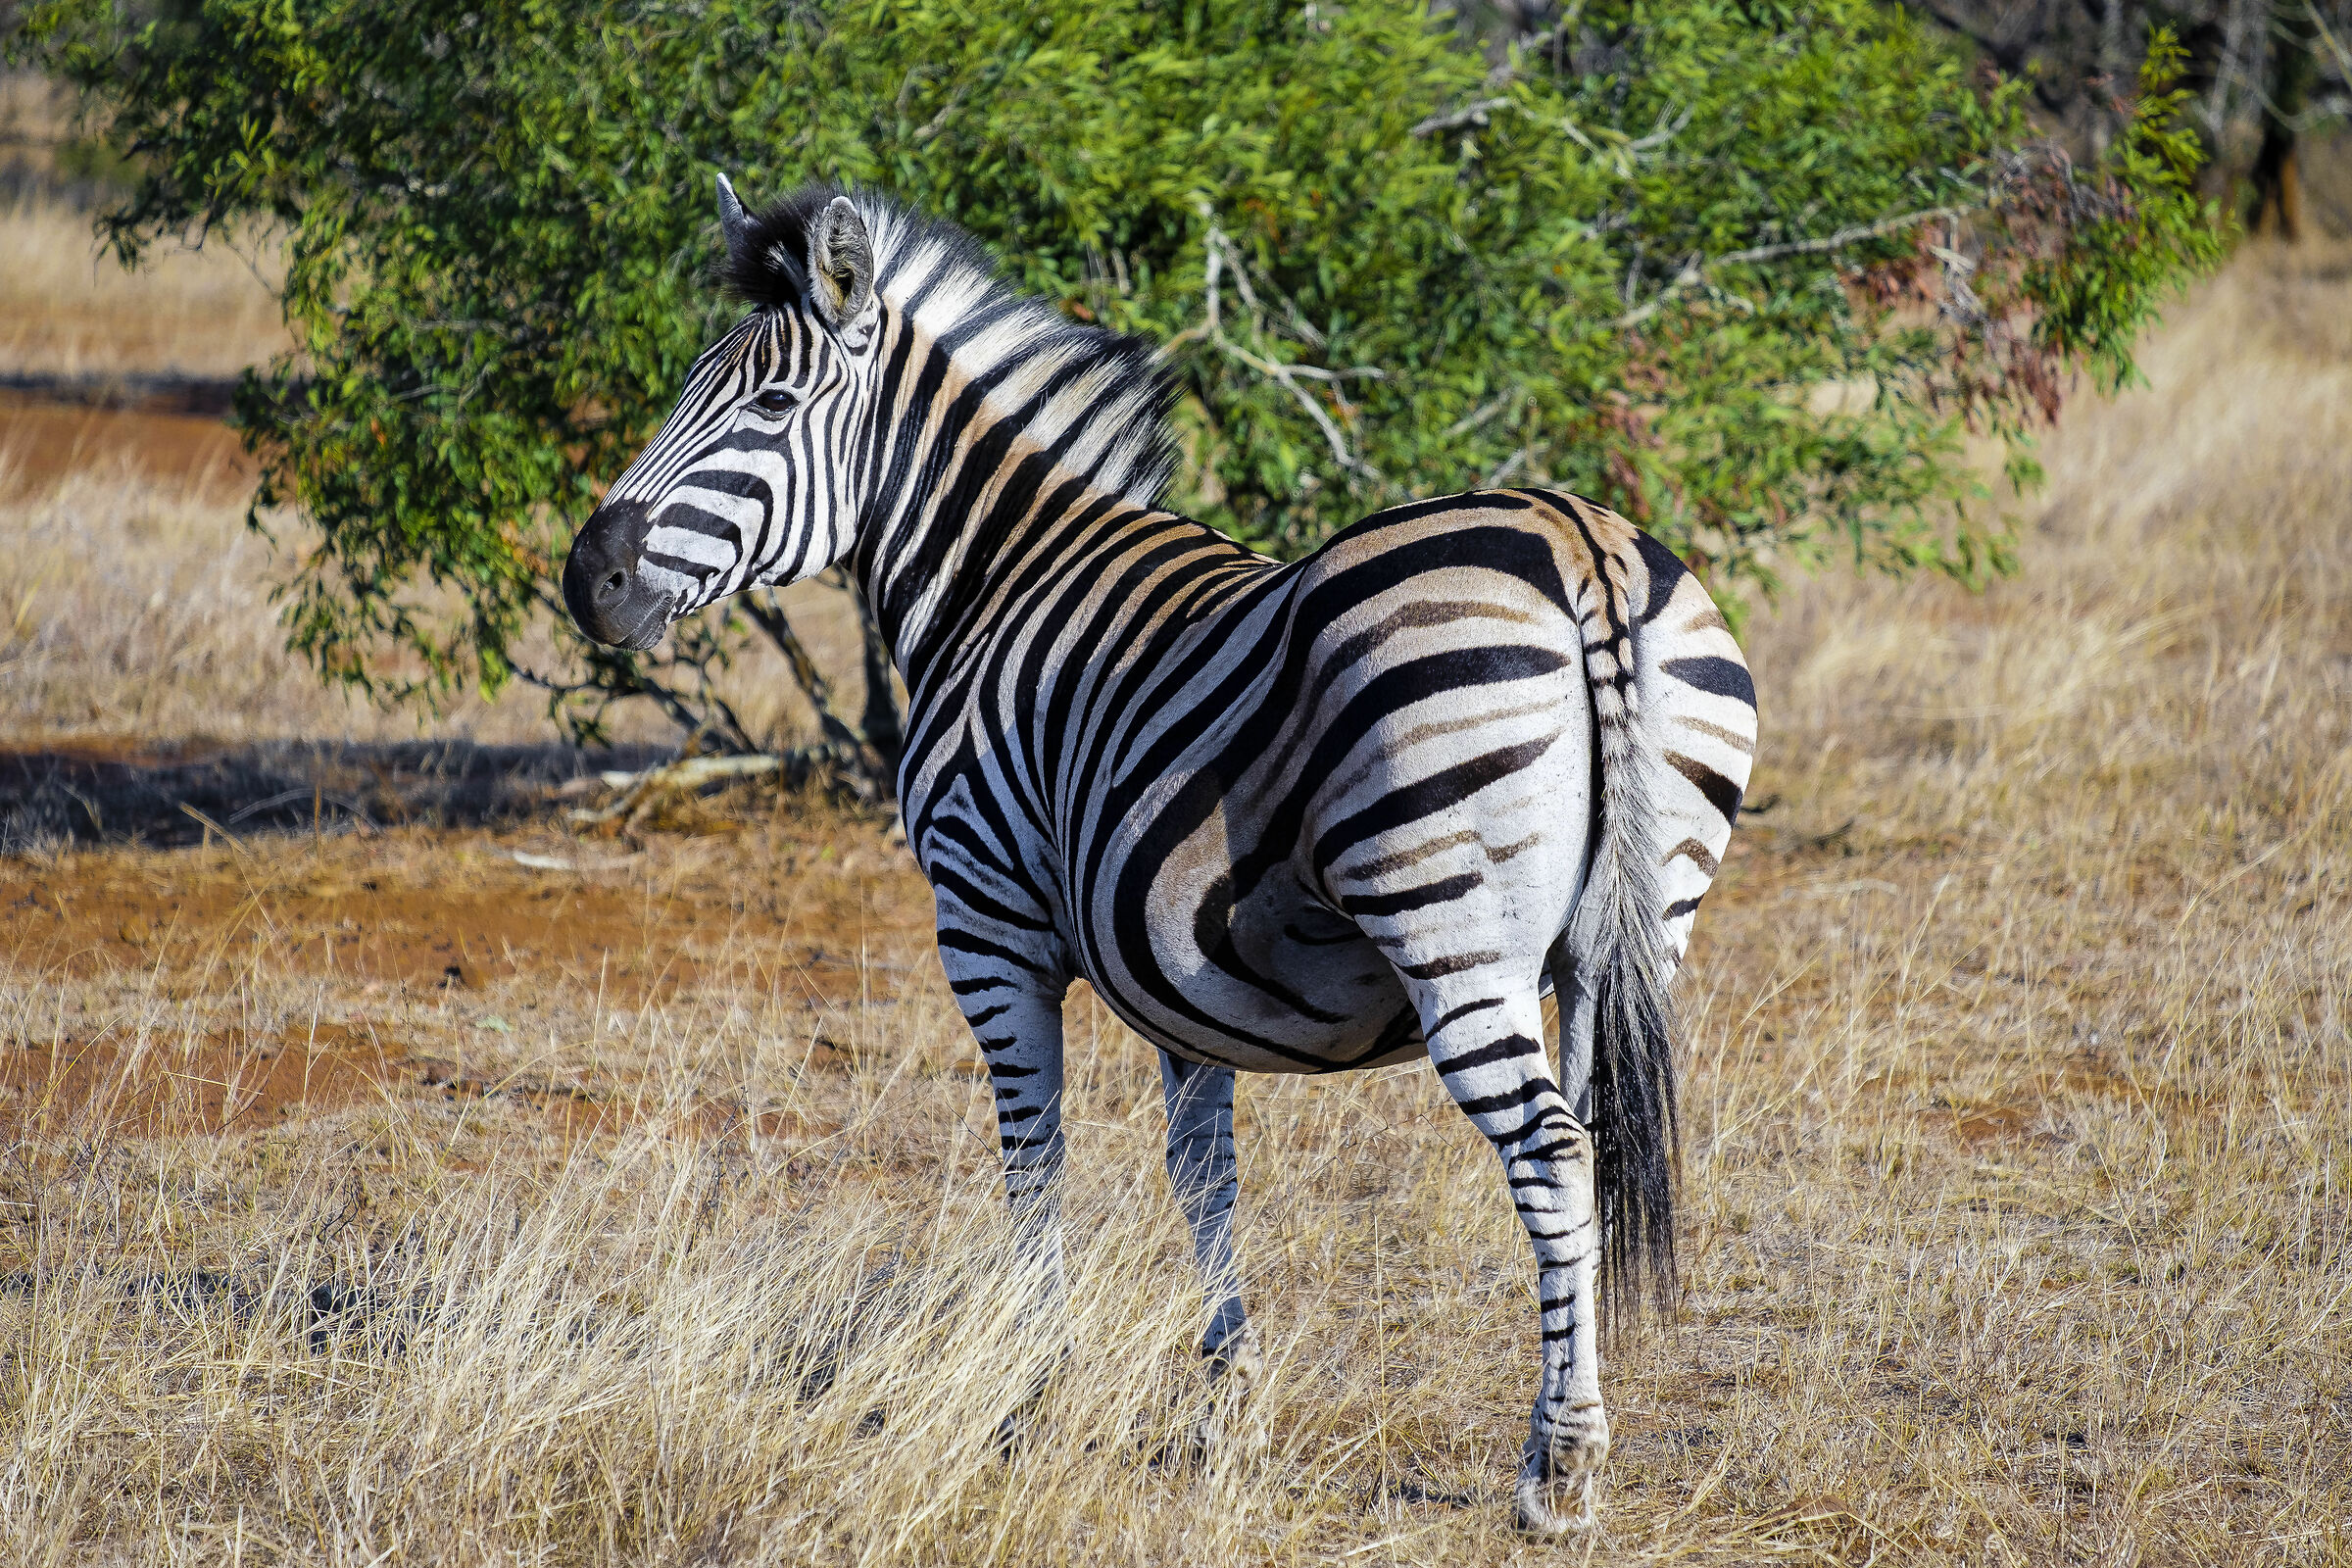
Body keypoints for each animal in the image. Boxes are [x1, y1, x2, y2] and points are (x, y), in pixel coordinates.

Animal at [562, 179, 1756, 1533]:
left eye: (766, 409)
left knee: (1550, 1153)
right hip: (1635, 932)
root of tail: (1581, 548)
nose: (588, 580)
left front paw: (1030, 1389)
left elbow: (1034, 1157)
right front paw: (1227, 1401)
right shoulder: (1181, 967)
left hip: (1451, 924)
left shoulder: (985, 922)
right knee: (1596, 1143)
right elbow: (1204, 1172)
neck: (997, 578)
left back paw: (1559, 1468)